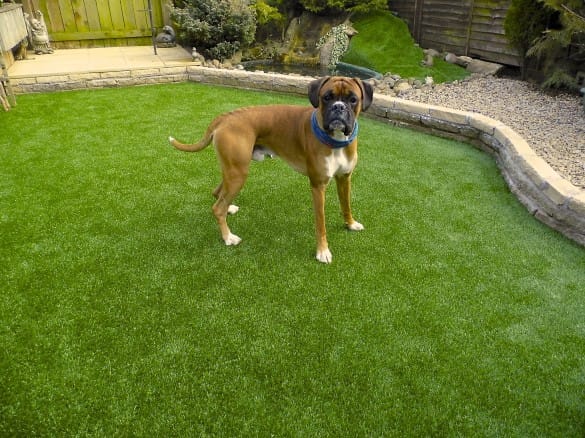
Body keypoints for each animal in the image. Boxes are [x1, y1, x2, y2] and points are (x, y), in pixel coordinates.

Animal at [169, 75, 372, 264]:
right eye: (327, 97)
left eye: (353, 99)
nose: (339, 107)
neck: (335, 140)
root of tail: (225, 117)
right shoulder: (318, 186)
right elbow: (320, 222)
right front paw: (322, 251)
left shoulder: (345, 178)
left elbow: (346, 204)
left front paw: (350, 224)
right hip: (238, 174)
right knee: (217, 207)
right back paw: (228, 237)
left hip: (233, 171)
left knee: (218, 193)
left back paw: (229, 209)